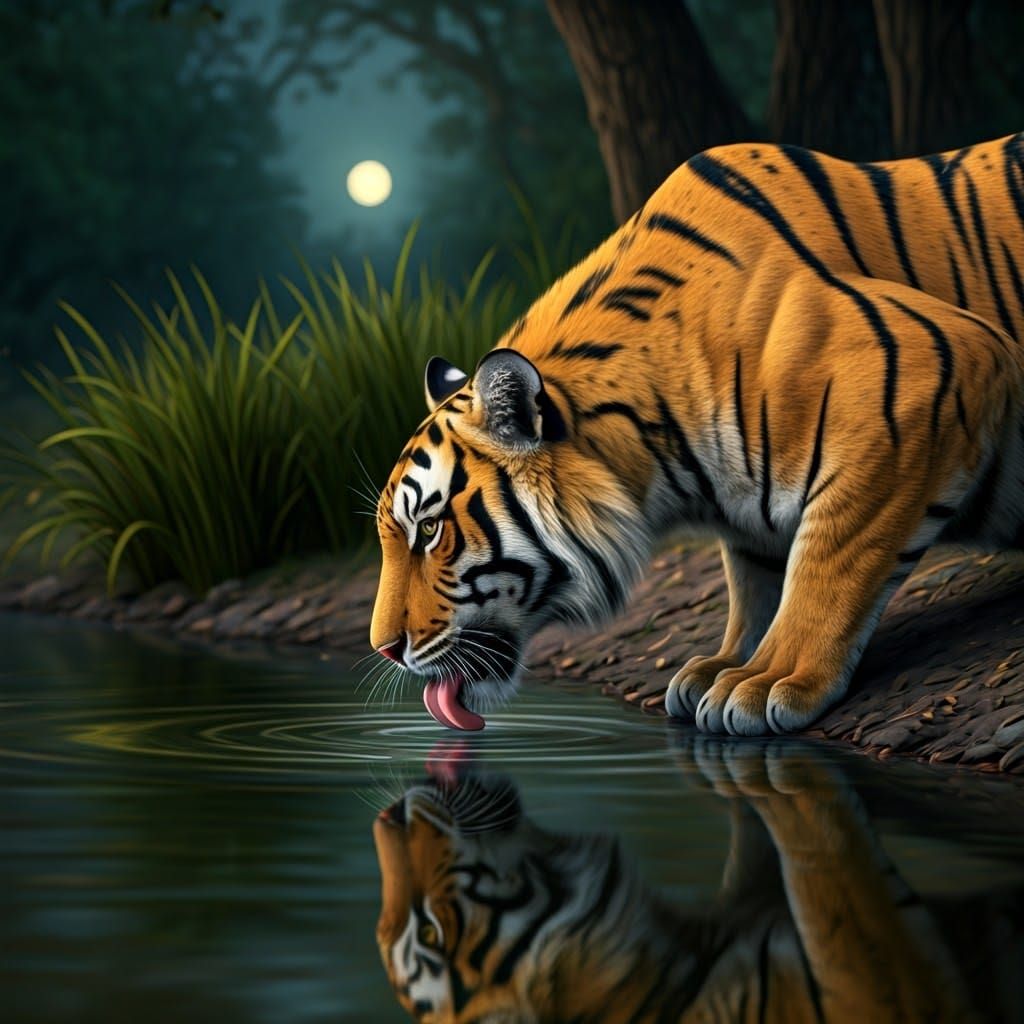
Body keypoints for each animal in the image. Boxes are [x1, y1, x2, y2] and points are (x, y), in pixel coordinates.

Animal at [370, 132, 1024, 735]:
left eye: (428, 529)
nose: (384, 649)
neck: (663, 460)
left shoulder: (923, 367)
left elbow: (830, 557)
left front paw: (769, 681)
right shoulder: (750, 509)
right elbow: (758, 580)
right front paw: (724, 666)